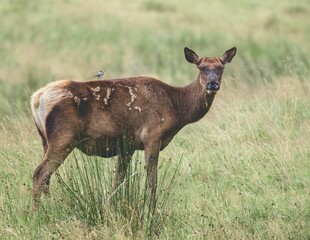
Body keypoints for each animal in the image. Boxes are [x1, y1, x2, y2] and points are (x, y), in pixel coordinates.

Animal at [30, 46, 235, 211]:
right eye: (201, 67)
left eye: (221, 67)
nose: (212, 84)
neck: (176, 107)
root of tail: (36, 98)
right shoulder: (152, 136)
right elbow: (152, 180)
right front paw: (151, 211)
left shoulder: (126, 145)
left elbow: (118, 180)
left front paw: (113, 207)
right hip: (64, 137)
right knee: (40, 173)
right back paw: (38, 213)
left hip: (45, 140)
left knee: (46, 177)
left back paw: (49, 208)